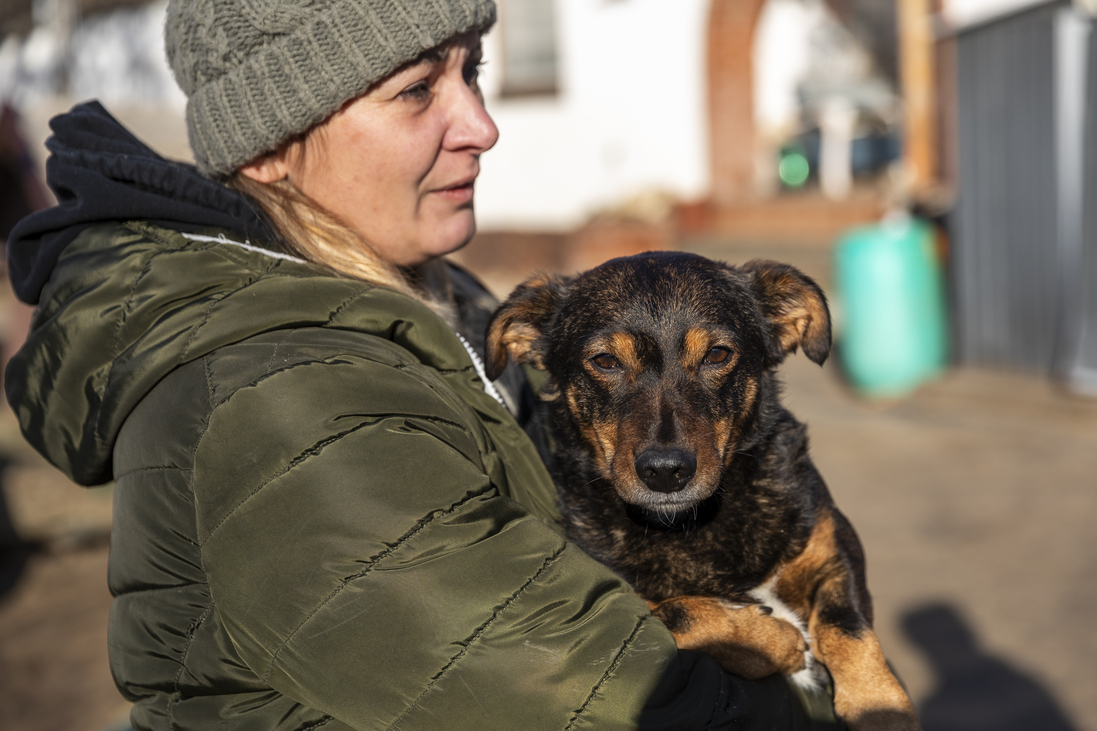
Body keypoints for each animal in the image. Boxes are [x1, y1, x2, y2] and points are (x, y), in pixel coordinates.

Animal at [484, 252, 921, 728]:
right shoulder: (615, 602)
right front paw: (771, 638)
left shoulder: (834, 548)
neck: (694, 522)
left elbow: (848, 628)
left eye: (717, 354)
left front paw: (879, 707)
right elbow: (681, 613)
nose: (665, 472)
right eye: (604, 362)